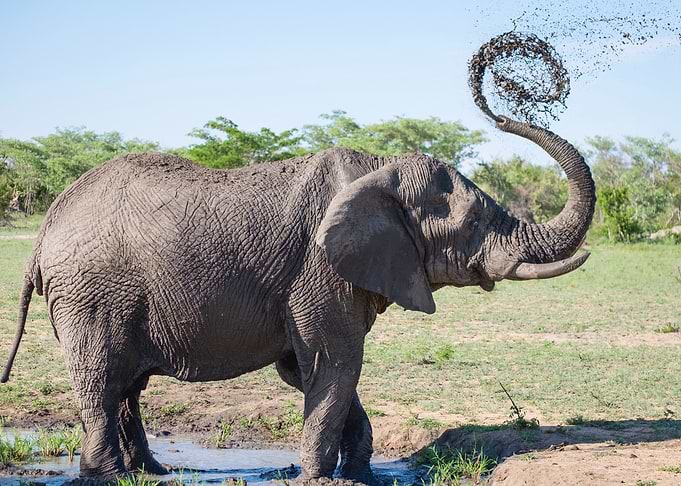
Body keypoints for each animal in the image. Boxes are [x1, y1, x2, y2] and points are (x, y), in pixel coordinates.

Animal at [1, 115, 594, 482]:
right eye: (473, 223)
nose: (497, 112)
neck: (379, 168)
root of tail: (47, 224)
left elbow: (310, 370)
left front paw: (358, 474)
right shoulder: (319, 269)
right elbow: (336, 362)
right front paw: (318, 478)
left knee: (127, 385)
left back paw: (151, 472)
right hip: (90, 294)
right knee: (102, 381)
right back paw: (107, 477)